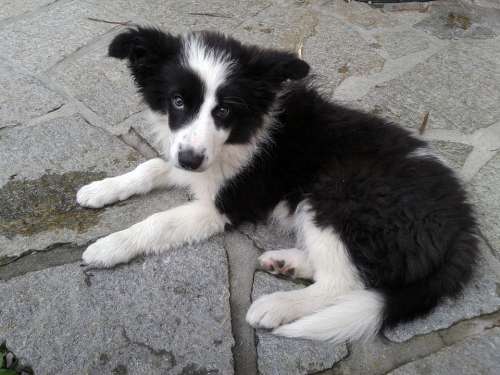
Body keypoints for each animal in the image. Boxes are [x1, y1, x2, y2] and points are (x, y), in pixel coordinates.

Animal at [76, 26, 478, 344]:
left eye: (224, 110)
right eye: (177, 101)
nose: (191, 160)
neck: (244, 131)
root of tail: (462, 222)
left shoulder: (224, 203)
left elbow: (159, 222)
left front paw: (109, 246)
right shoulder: (191, 158)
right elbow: (150, 167)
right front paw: (99, 189)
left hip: (339, 193)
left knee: (345, 283)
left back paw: (276, 305)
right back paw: (286, 263)